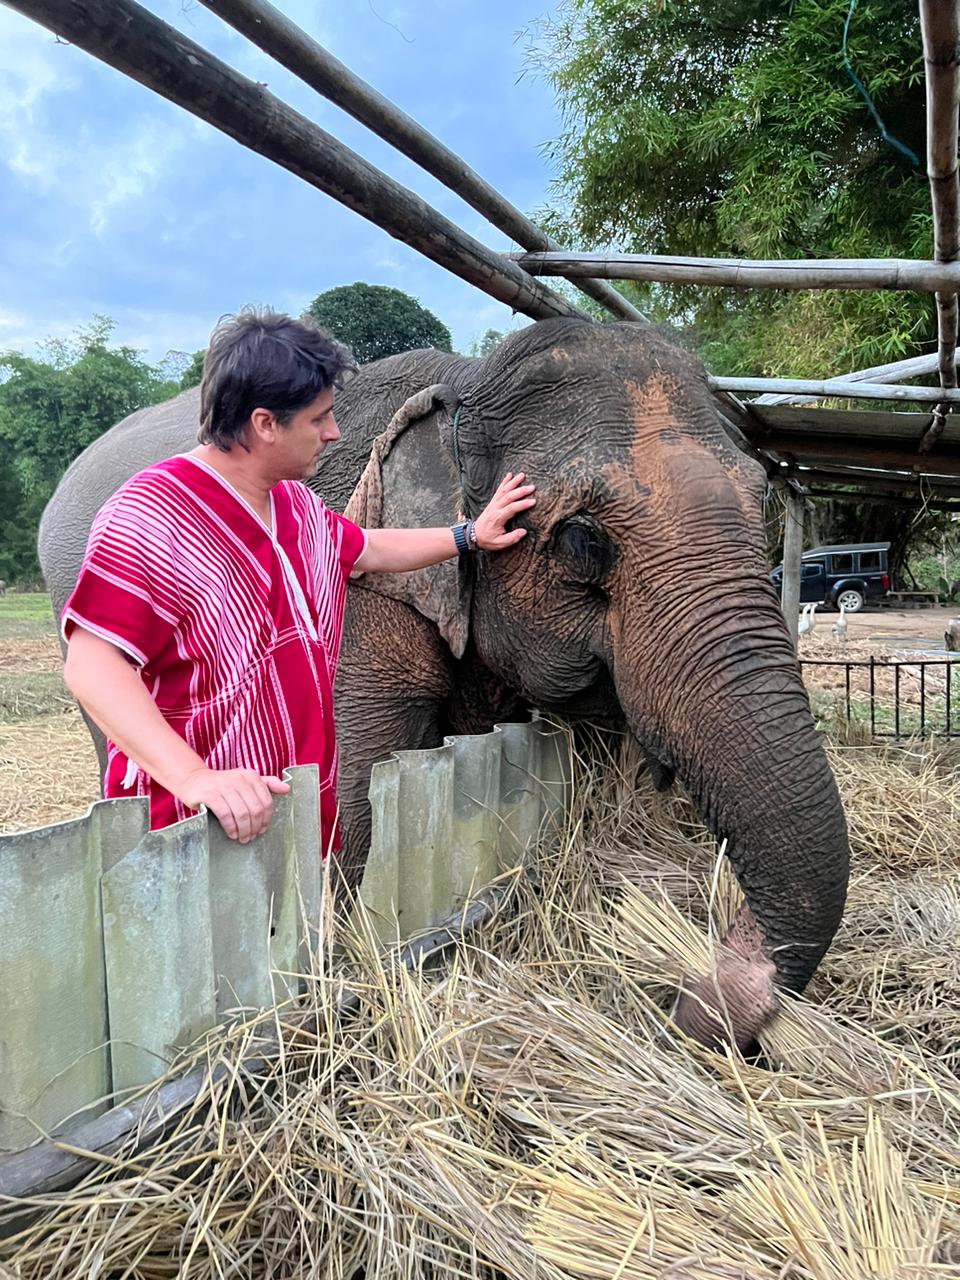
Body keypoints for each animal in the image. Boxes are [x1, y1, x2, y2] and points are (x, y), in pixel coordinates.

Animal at [39, 317, 849, 1049]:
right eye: (582, 541)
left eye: (763, 496)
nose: (687, 1002)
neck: (469, 384)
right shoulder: (365, 597)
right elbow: (363, 782)